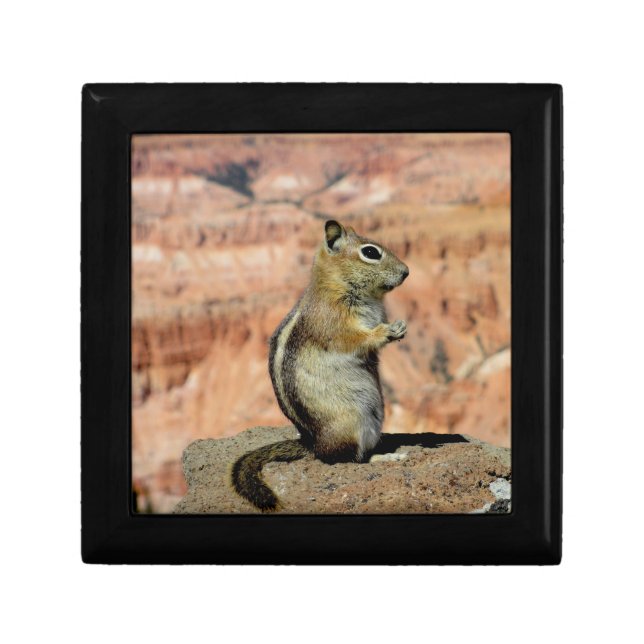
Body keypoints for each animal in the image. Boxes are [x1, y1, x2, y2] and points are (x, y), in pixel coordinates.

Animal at [230, 219, 409, 511]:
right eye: (371, 253)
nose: (407, 272)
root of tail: (313, 444)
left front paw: (400, 327)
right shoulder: (334, 322)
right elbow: (355, 340)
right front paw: (386, 331)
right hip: (351, 423)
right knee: (345, 460)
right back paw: (385, 458)